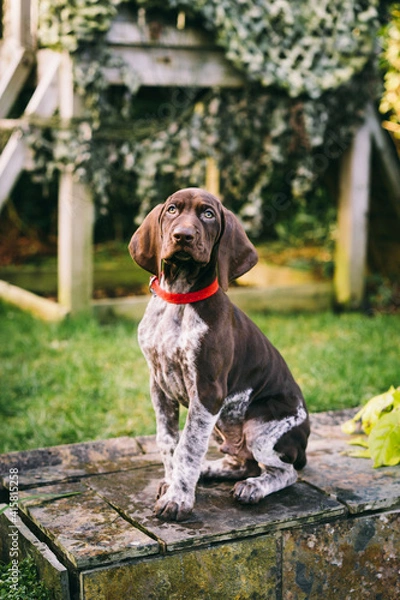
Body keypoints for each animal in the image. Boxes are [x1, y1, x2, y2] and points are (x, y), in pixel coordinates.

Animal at [128, 188, 310, 520]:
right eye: (172, 210)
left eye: (208, 214)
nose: (183, 236)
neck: (179, 298)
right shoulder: (159, 386)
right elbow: (168, 442)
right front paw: (172, 483)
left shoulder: (207, 392)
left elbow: (188, 447)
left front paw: (178, 499)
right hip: (220, 422)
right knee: (242, 462)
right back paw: (209, 471)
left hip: (260, 426)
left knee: (284, 471)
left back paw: (253, 487)